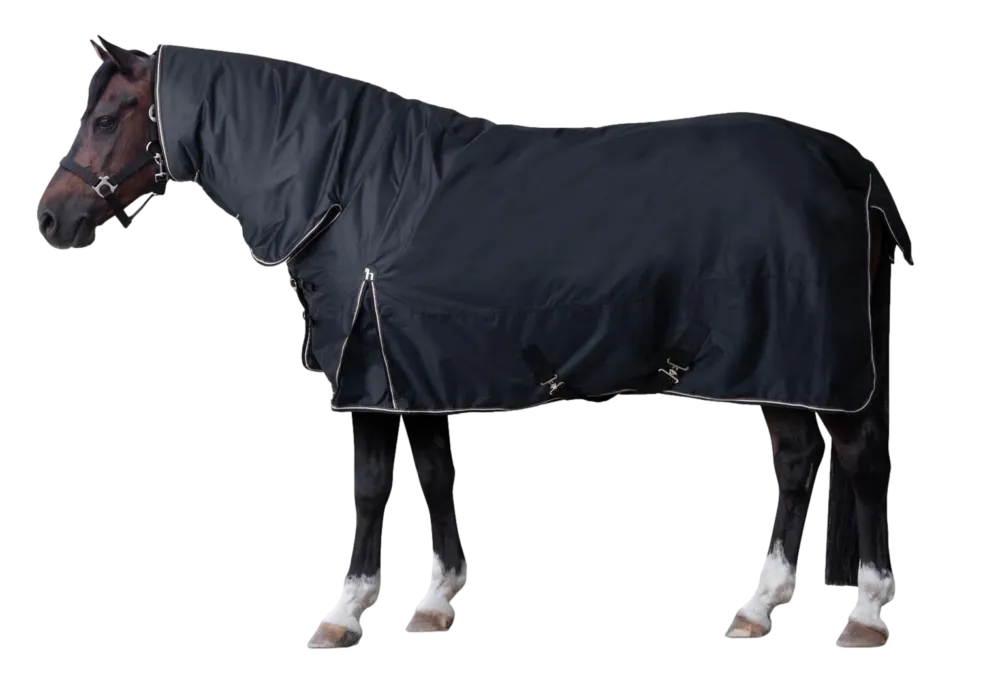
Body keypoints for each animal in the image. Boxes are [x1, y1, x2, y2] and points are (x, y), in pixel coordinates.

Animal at [36, 39, 916, 649]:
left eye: (106, 118)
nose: (49, 217)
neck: (354, 189)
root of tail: (848, 166)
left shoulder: (370, 375)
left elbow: (369, 488)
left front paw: (344, 613)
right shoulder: (411, 371)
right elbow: (432, 474)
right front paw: (433, 602)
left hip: (816, 365)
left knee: (863, 468)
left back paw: (865, 615)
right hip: (783, 367)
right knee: (798, 465)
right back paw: (761, 604)